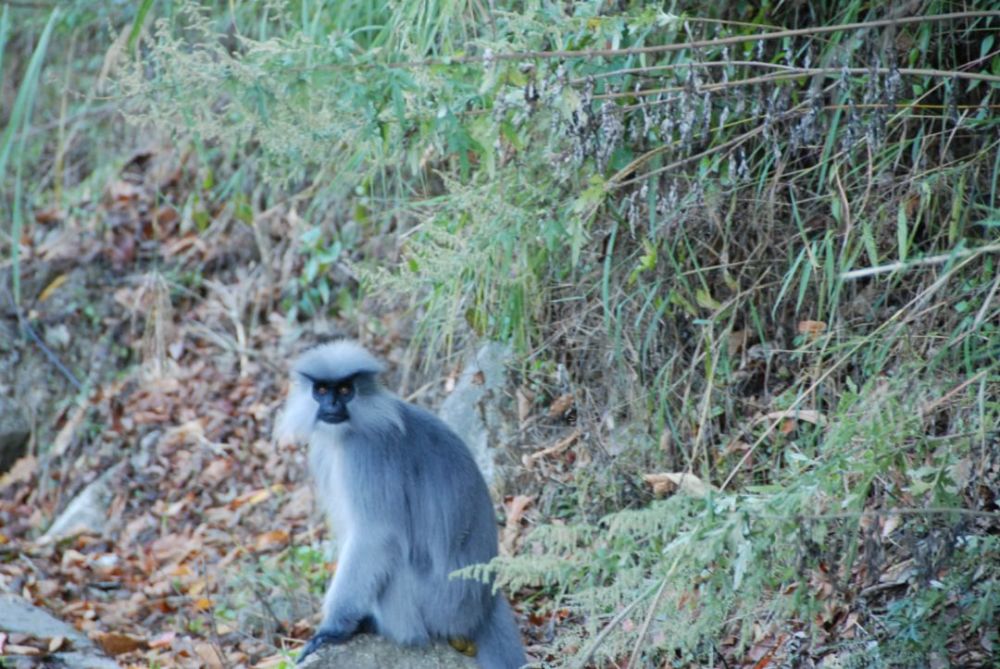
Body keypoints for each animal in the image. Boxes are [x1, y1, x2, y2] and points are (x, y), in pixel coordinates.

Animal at [270, 342, 528, 664]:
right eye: (321, 390)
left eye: (345, 390)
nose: (331, 406)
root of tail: (483, 607)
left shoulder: (366, 454)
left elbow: (376, 537)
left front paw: (334, 628)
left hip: (436, 606)